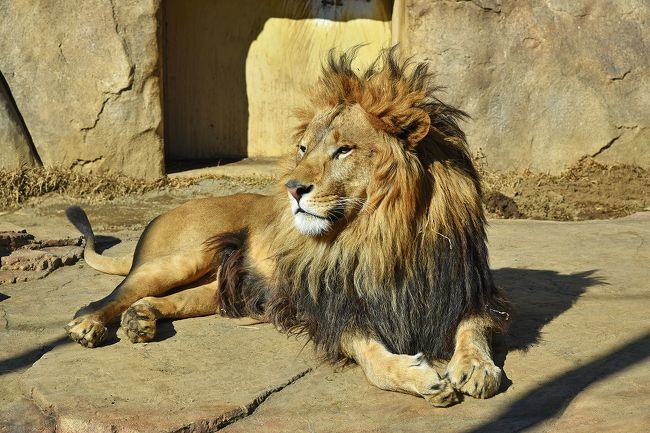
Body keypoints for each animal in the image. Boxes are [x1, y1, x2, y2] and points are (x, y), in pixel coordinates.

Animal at [67, 47, 512, 404]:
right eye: (303, 149)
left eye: (343, 150)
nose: (292, 188)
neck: (384, 235)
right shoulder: (336, 311)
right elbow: (373, 360)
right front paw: (421, 378)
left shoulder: (466, 290)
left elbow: (473, 327)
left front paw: (477, 367)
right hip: (185, 257)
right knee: (115, 294)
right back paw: (89, 324)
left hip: (223, 287)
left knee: (167, 299)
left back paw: (140, 319)